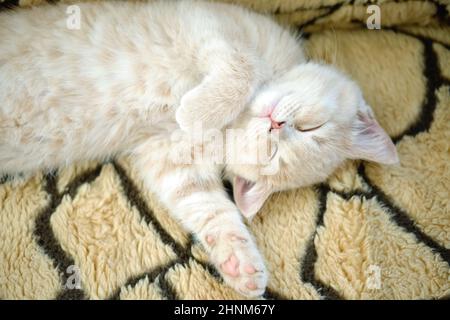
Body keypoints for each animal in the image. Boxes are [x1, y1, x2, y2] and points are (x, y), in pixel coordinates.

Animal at [0, 0, 398, 298]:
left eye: (273, 154)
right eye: (311, 128)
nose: (275, 123)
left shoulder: (171, 157)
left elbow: (208, 208)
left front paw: (241, 264)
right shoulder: (203, 24)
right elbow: (243, 66)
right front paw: (197, 109)